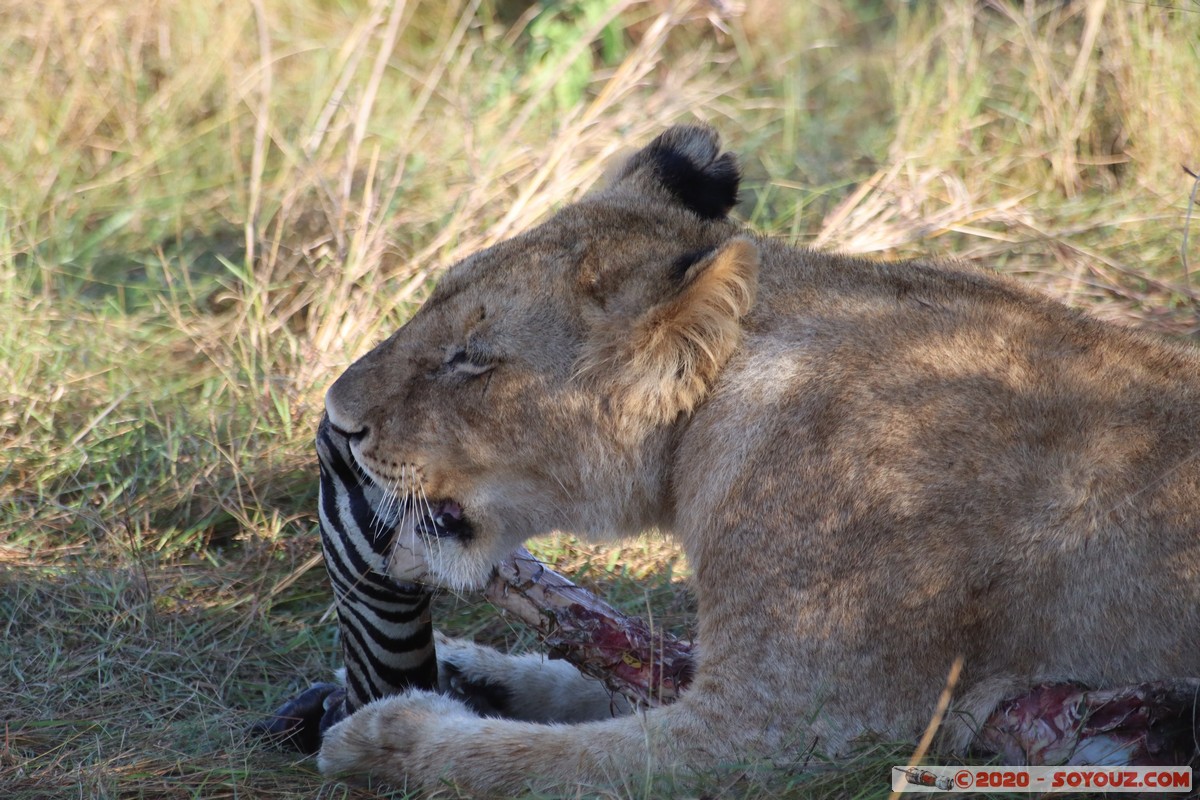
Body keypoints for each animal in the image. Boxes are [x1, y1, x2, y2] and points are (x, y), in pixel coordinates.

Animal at [314, 125, 1200, 796]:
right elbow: (619, 667)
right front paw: (476, 673)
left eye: (472, 360)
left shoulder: (788, 730)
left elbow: (541, 762)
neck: (708, 429)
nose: (336, 420)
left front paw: (382, 735)